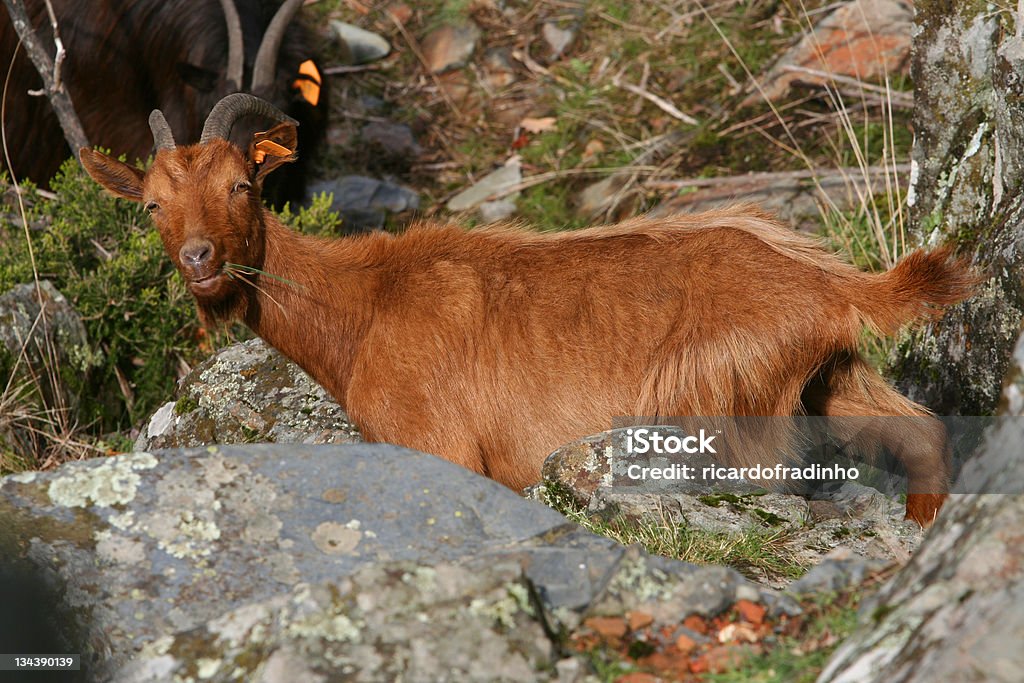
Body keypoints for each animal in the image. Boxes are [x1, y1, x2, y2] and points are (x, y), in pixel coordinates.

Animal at [79, 93, 974, 528]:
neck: (366, 304)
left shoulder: (440, 447)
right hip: (832, 378)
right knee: (922, 431)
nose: (202, 262)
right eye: (153, 204)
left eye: (241, 184)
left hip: (725, 404)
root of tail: (830, 286)